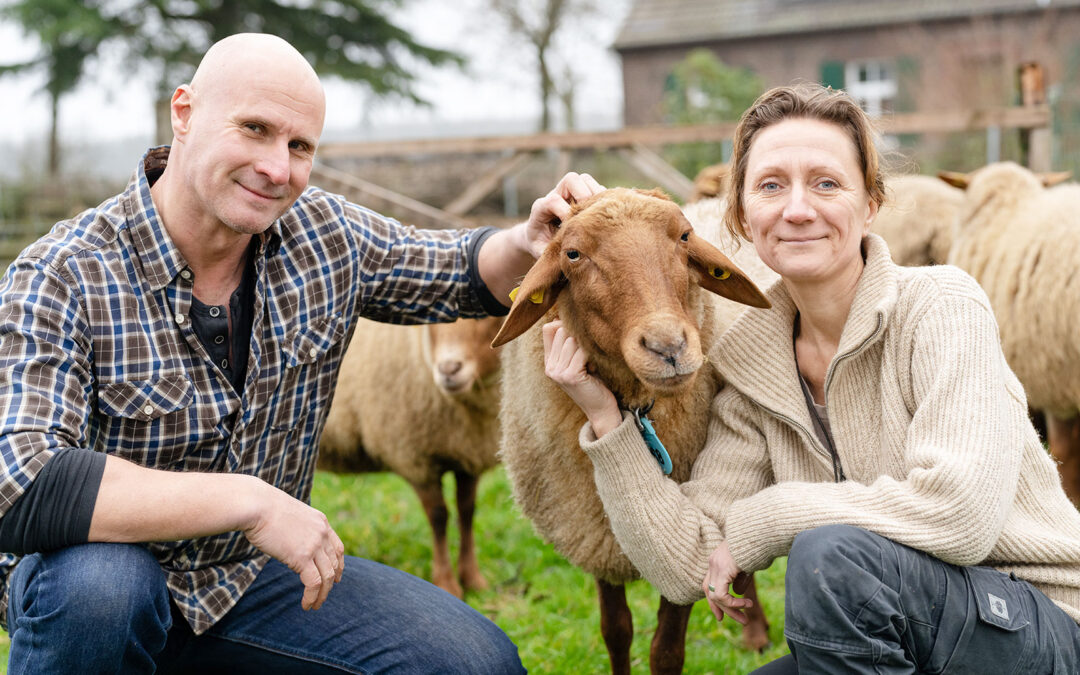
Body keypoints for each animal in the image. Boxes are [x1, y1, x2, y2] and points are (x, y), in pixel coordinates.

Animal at [317, 315, 503, 596]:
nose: (449, 369)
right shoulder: (413, 457)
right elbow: (439, 517)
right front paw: (447, 583)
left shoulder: (467, 455)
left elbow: (467, 511)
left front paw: (473, 580)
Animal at [494, 187, 773, 673]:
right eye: (572, 254)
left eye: (685, 236)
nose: (668, 347)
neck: (635, 407)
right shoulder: (596, 531)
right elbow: (616, 631)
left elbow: (666, 649)